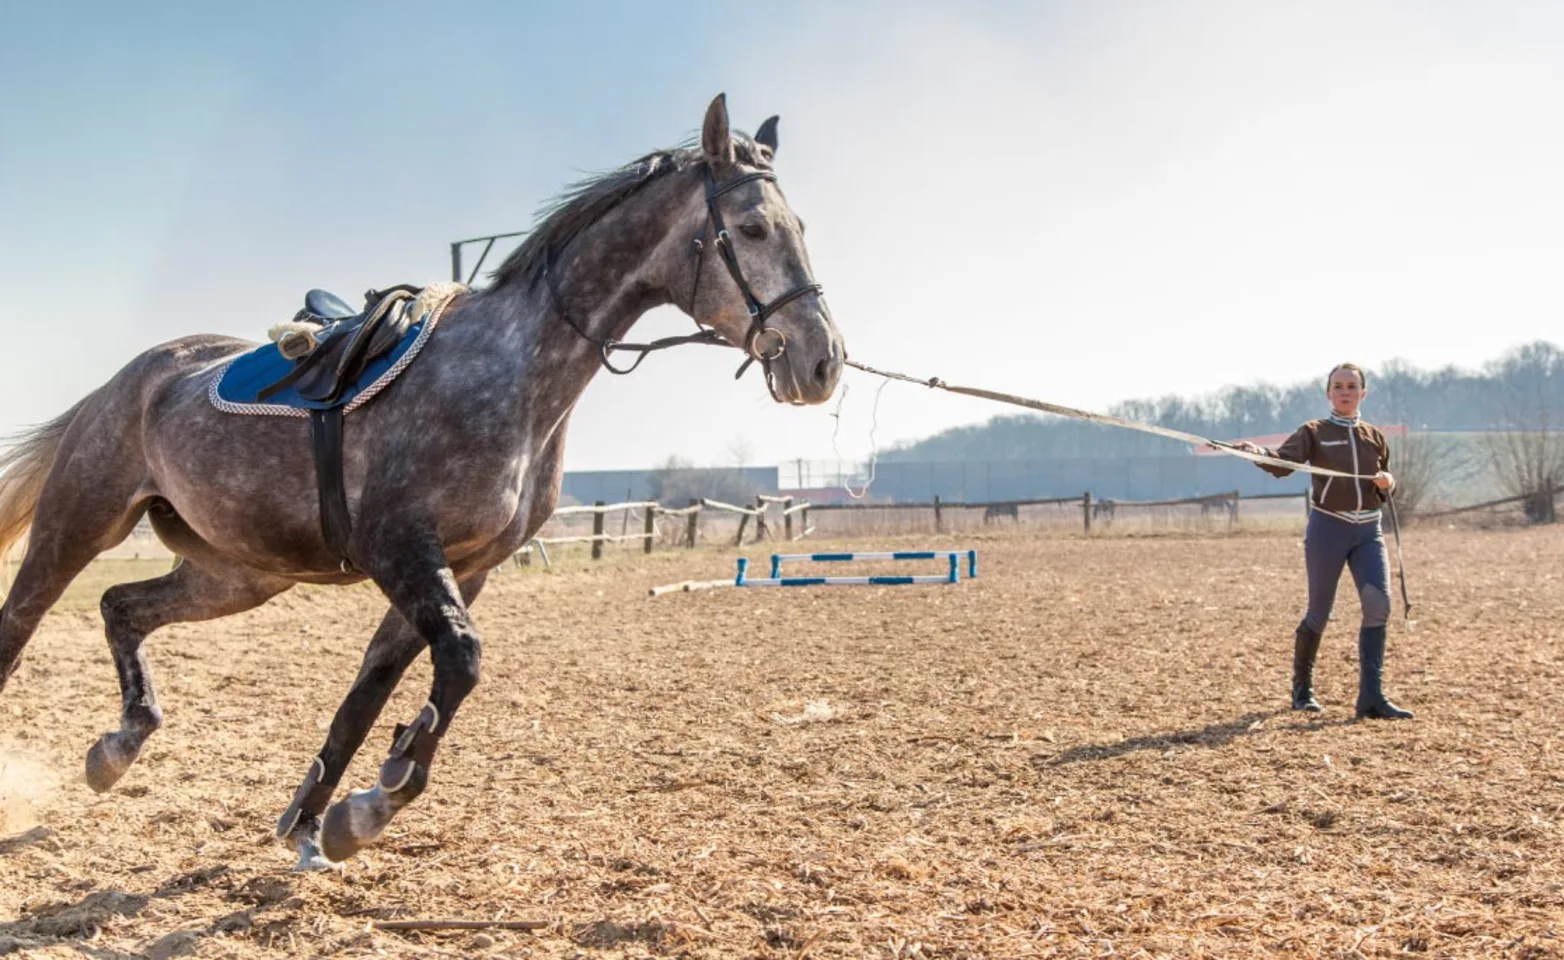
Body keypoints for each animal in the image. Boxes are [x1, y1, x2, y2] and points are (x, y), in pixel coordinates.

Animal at [0, 94, 843, 870]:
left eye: (803, 228)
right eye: (755, 229)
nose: (822, 362)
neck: (514, 373)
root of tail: (127, 380)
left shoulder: (464, 568)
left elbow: (373, 688)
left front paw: (325, 819)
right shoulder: (400, 548)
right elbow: (460, 661)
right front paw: (376, 798)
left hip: (237, 573)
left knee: (120, 607)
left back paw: (117, 747)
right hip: (81, 523)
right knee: (20, 624)